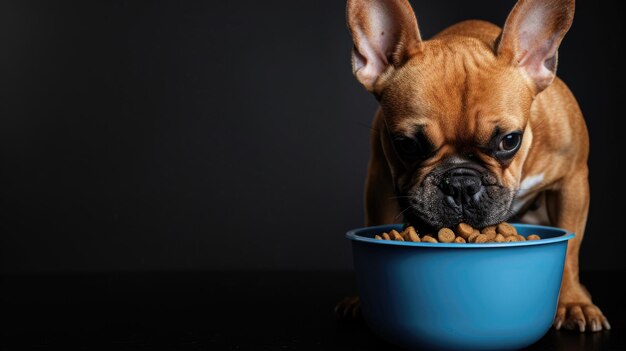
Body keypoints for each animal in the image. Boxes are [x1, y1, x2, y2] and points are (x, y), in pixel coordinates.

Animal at [338, 0, 608, 332]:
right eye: (407, 145)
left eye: (509, 140)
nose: (460, 183)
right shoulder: (379, 179)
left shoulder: (572, 180)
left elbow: (570, 249)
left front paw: (572, 302)